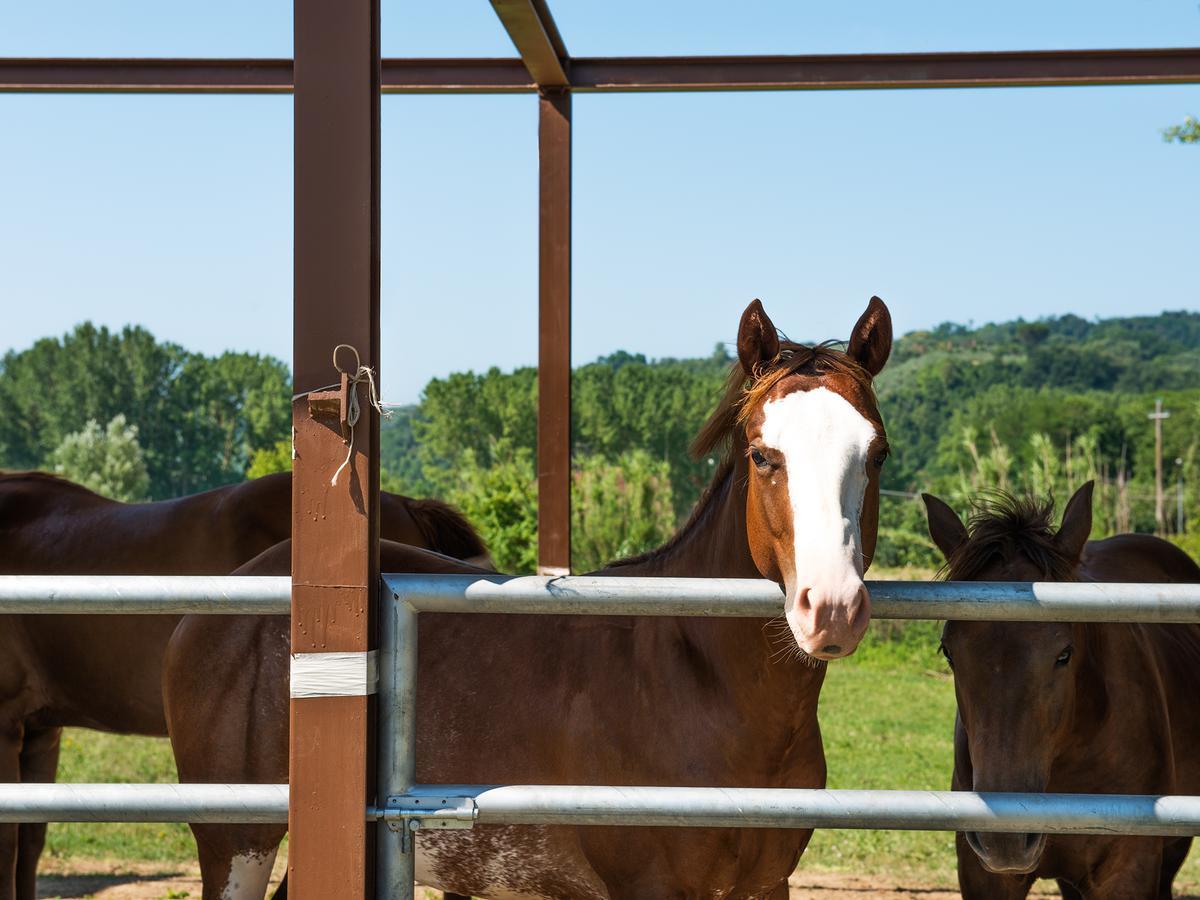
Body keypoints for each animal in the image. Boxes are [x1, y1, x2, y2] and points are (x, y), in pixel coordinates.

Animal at [162, 297, 892, 900]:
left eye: (877, 454)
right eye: (765, 456)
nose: (831, 608)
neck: (694, 679)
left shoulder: (765, 886)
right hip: (237, 843)